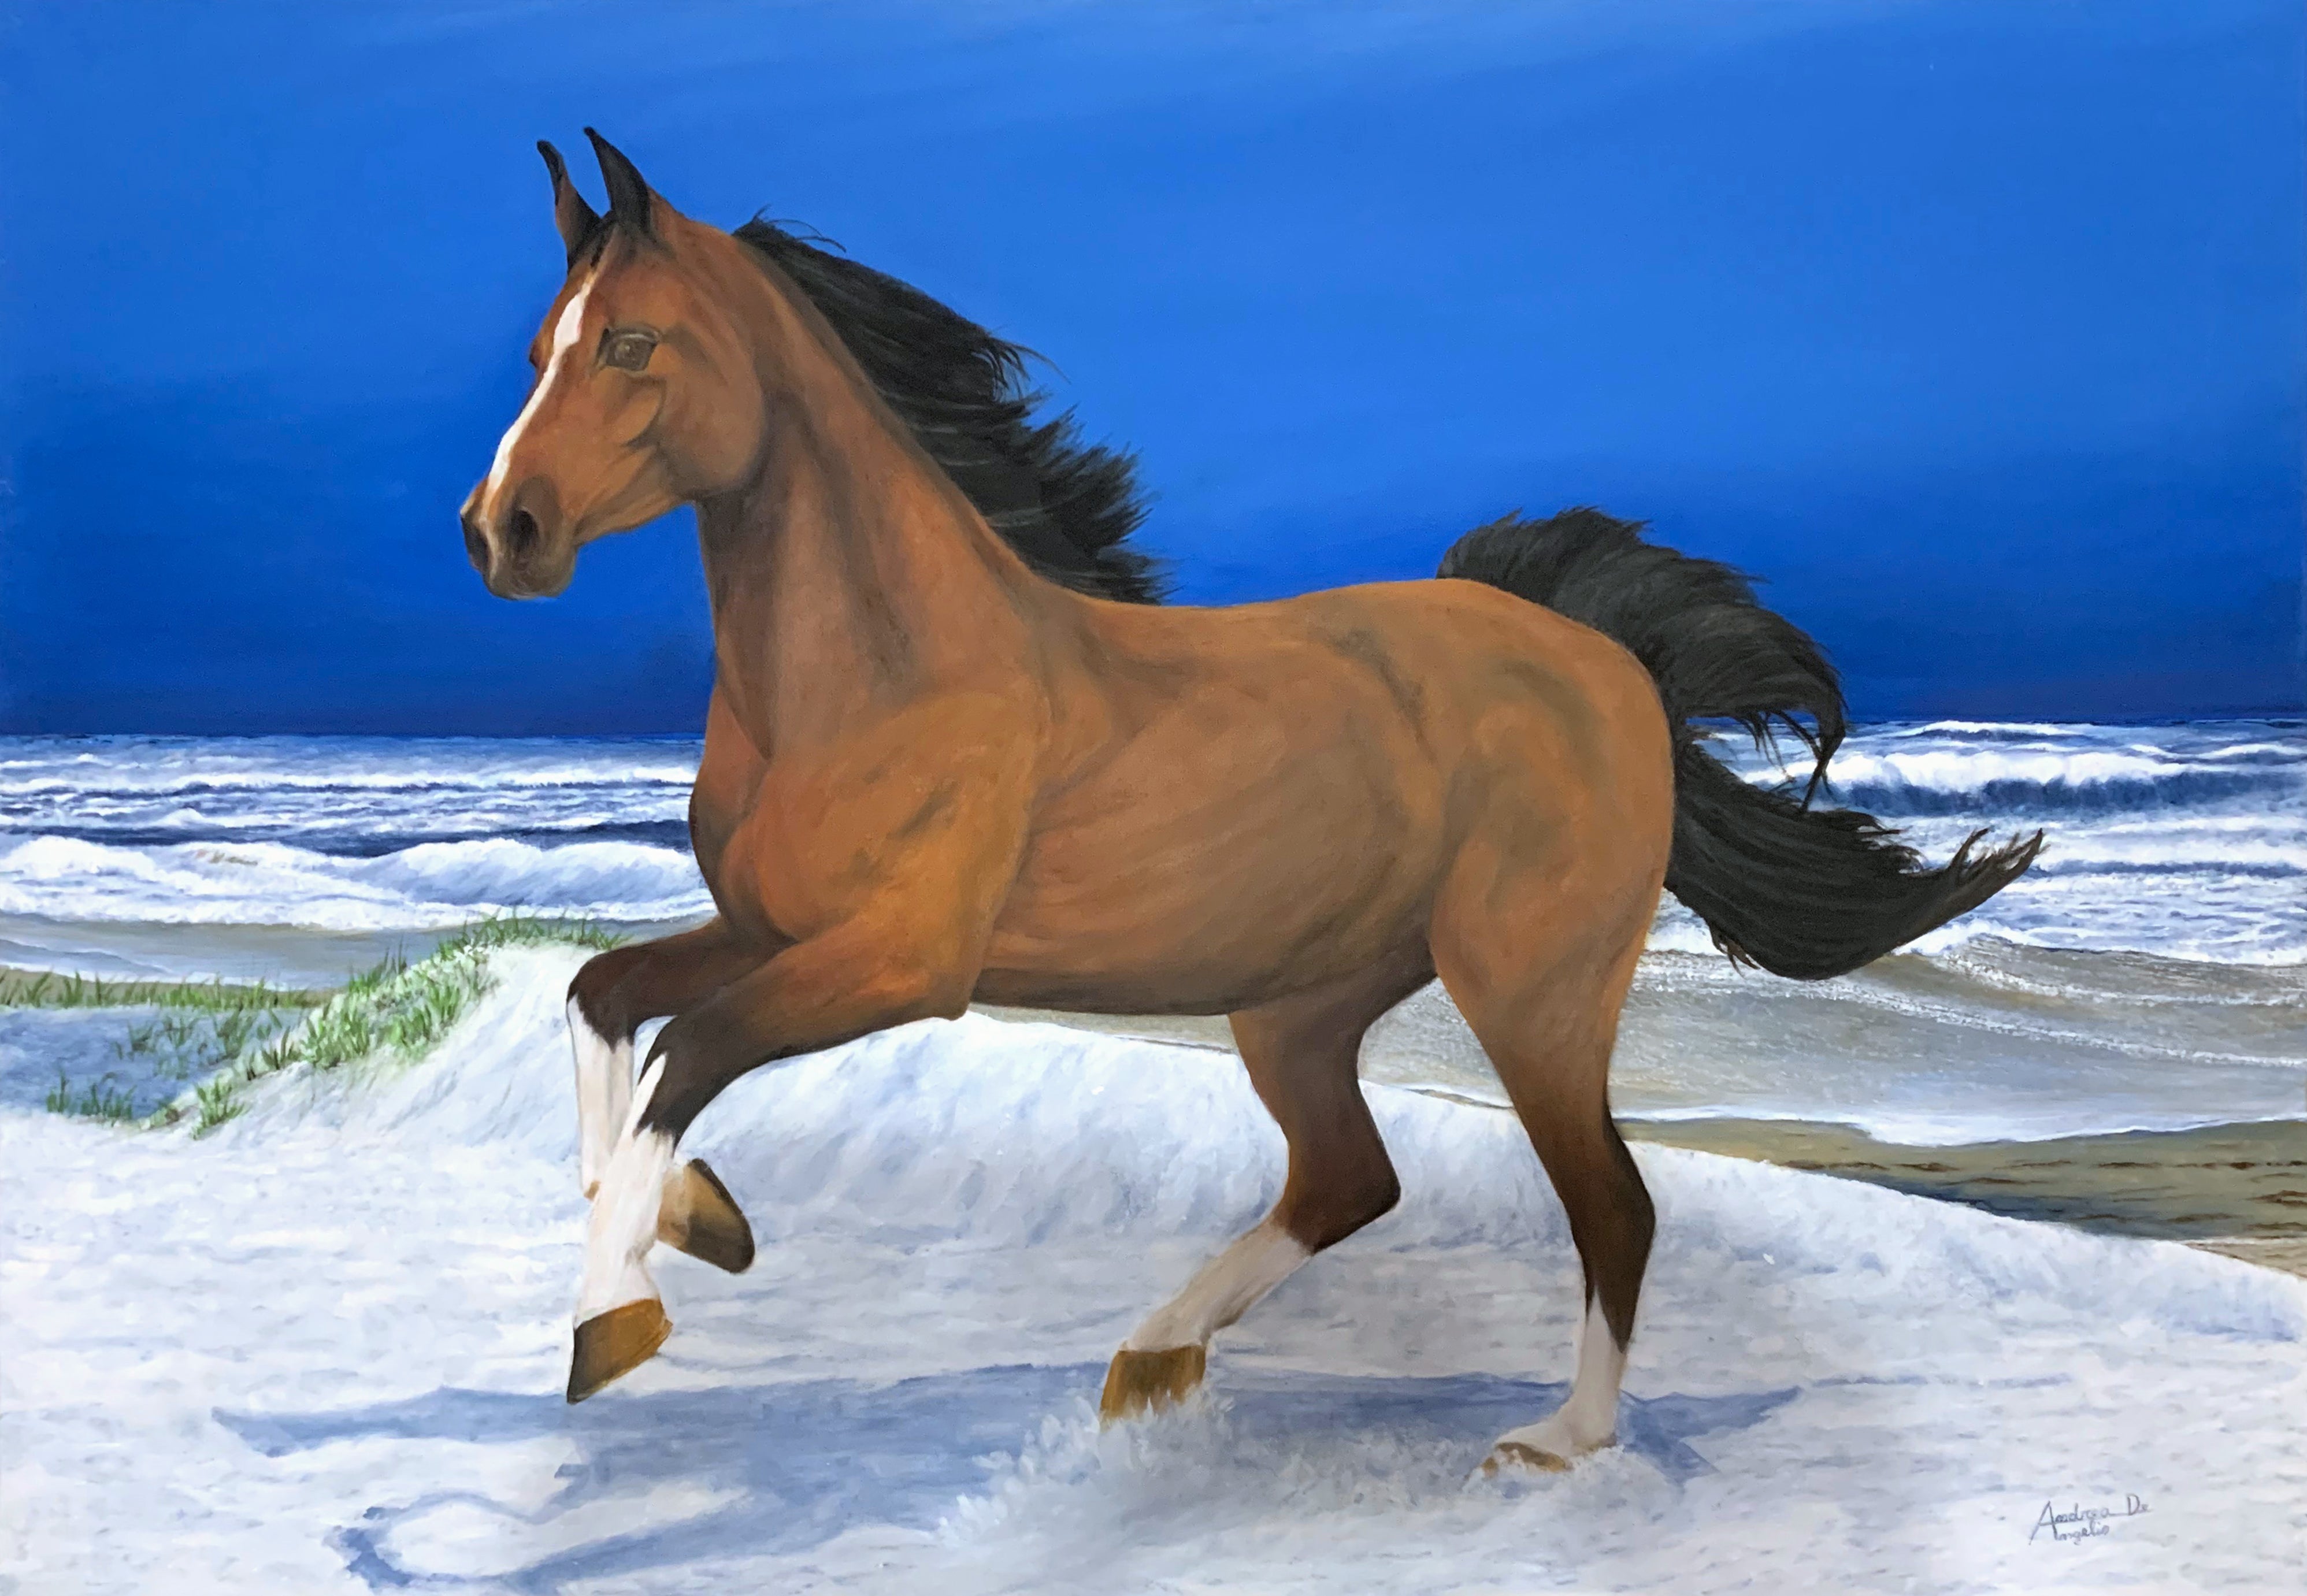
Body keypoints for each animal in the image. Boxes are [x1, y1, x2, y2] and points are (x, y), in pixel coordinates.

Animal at [459, 131, 2042, 1473]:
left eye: (630, 343)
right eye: (540, 348)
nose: (500, 532)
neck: (880, 672)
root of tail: (1602, 661)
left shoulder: (902, 962)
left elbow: (690, 1053)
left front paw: (618, 1317)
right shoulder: (763, 928)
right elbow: (605, 1001)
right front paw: (689, 1221)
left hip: (1527, 990)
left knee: (1609, 1202)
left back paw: (1556, 1443)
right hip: (1300, 1005)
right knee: (1351, 1180)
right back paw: (1151, 1360)